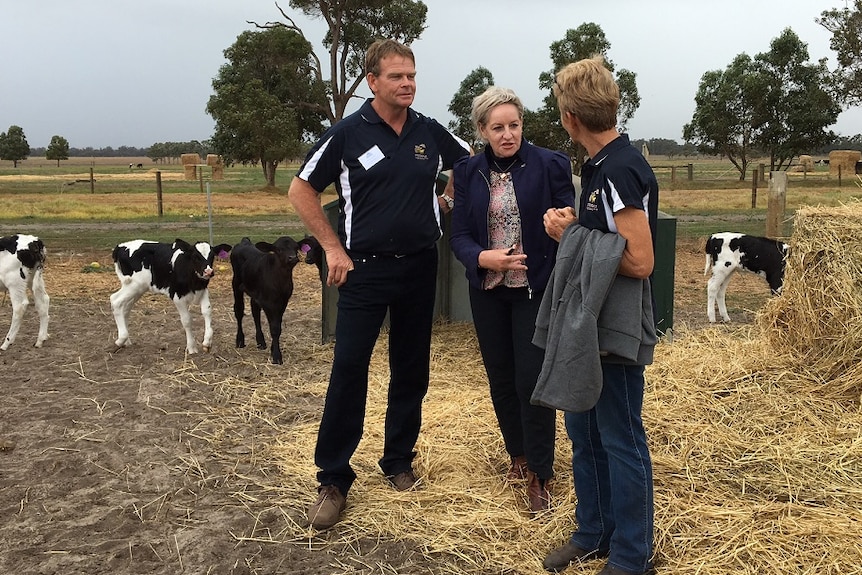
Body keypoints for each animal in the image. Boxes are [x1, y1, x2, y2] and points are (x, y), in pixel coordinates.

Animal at [231, 235, 318, 364]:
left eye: (296, 248)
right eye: (279, 249)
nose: (293, 257)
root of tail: (244, 242)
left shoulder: (283, 302)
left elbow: (278, 326)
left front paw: (273, 349)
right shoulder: (268, 303)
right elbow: (274, 328)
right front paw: (277, 356)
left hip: (255, 293)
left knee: (255, 312)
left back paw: (261, 342)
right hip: (236, 284)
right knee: (239, 311)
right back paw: (240, 340)